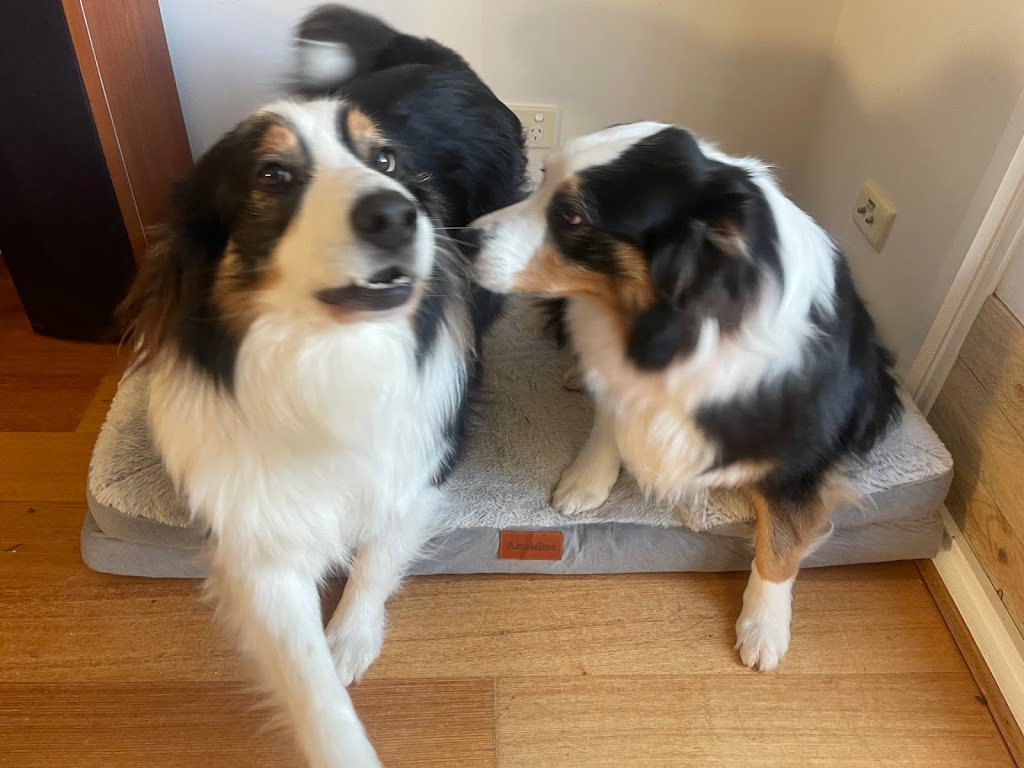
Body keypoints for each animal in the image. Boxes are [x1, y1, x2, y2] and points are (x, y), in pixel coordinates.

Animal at [119, 6, 525, 766]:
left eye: (385, 161)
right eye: (273, 175)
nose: (399, 213)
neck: (325, 355)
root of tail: (439, 59)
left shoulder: (420, 459)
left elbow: (376, 552)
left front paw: (350, 637)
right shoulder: (257, 526)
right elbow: (311, 688)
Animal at [470, 121, 901, 672]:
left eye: (571, 215)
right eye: (542, 178)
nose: (460, 236)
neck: (675, 326)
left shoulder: (803, 450)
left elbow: (780, 542)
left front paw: (763, 628)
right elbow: (611, 417)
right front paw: (586, 481)